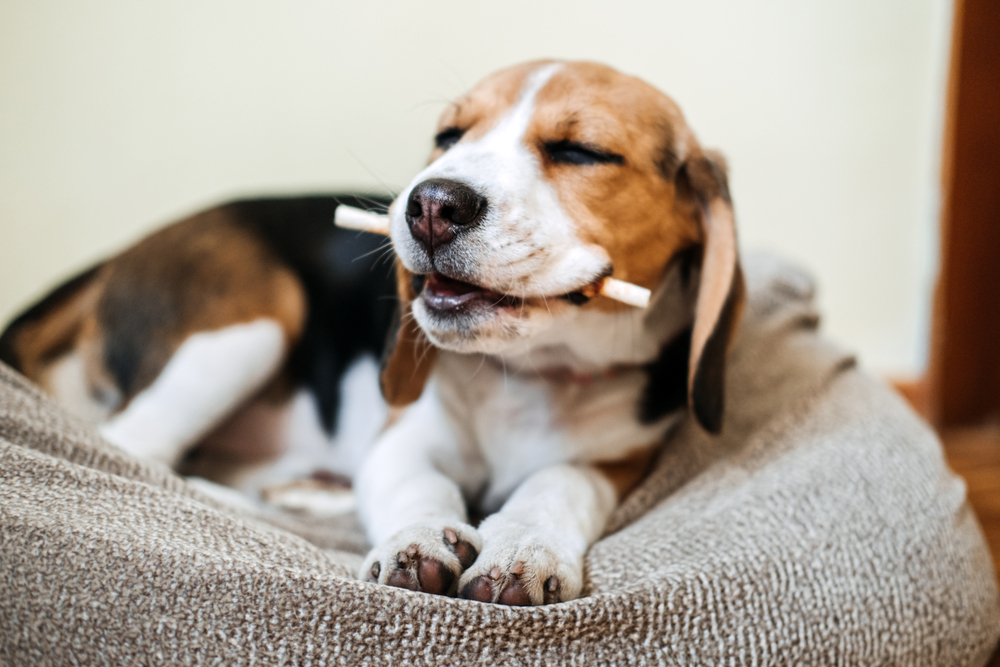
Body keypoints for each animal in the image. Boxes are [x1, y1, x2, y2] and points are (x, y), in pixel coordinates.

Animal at [358, 60, 744, 608]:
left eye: (580, 151)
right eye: (448, 137)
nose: (431, 204)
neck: (532, 372)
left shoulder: (619, 458)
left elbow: (560, 479)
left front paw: (524, 542)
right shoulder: (399, 437)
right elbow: (417, 481)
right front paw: (418, 538)